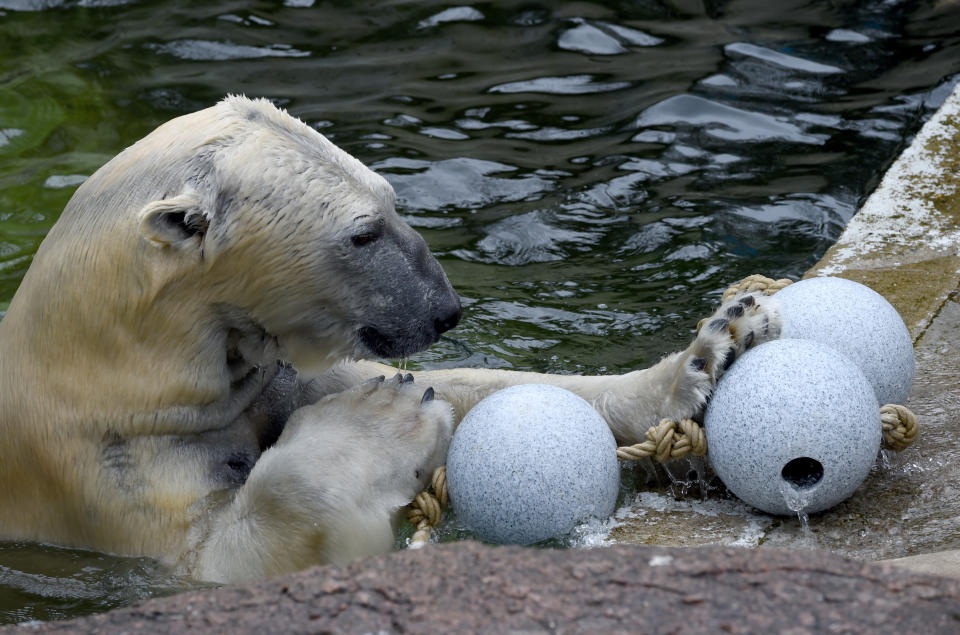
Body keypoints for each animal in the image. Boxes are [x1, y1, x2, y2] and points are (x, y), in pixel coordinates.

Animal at [0, 97, 780, 584]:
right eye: (362, 233)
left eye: (392, 199)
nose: (445, 310)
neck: (120, 370)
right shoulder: (103, 478)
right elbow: (223, 560)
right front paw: (385, 417)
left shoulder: (270, 379)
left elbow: (468, 389)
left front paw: (710, 354)